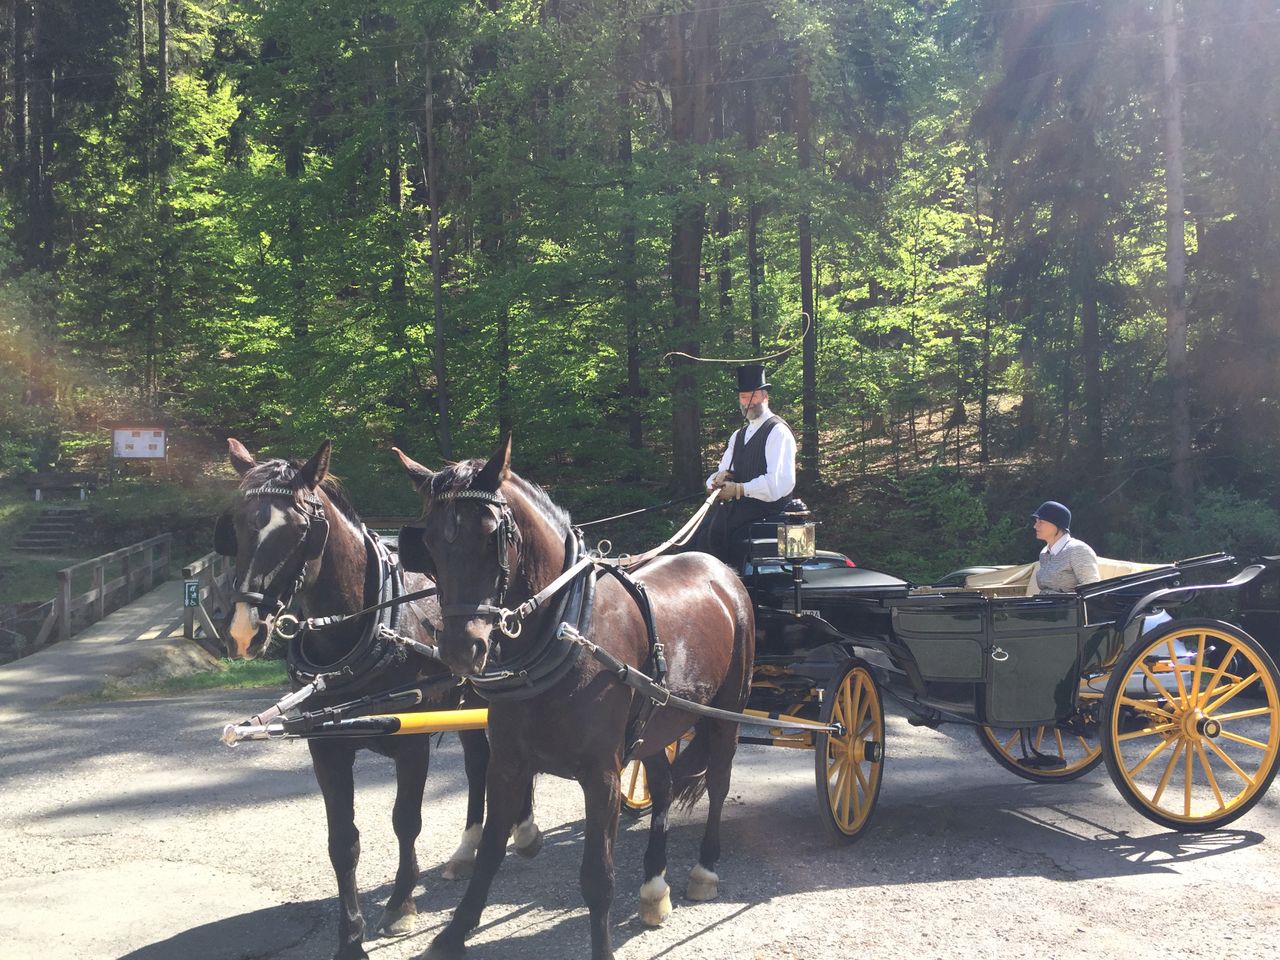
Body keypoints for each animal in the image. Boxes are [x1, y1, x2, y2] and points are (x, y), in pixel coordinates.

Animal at [220, 440, 540, 957]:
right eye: (237, 526)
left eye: (301, 531)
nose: (244, 632)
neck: (361, 631)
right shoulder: (325, 746)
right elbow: (342, 840)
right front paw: (350, 935)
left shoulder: (412, 742)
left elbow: (405, 820)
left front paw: (401, 904)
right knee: (479, 762)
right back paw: (467, 849)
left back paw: (524, 829)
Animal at [394, 440, 752, 960]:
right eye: (432, 546)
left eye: (491, 537)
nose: (463, 649)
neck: (566, 628)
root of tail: (721, 570)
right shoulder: (508, 763)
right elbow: (490, 854)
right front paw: (453, 934)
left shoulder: (602, 775)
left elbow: (597, 878)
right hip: (657, 724)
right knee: (663, 787)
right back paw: (654, 887)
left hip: (729, 711)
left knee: (720, 782)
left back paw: (704, 870)